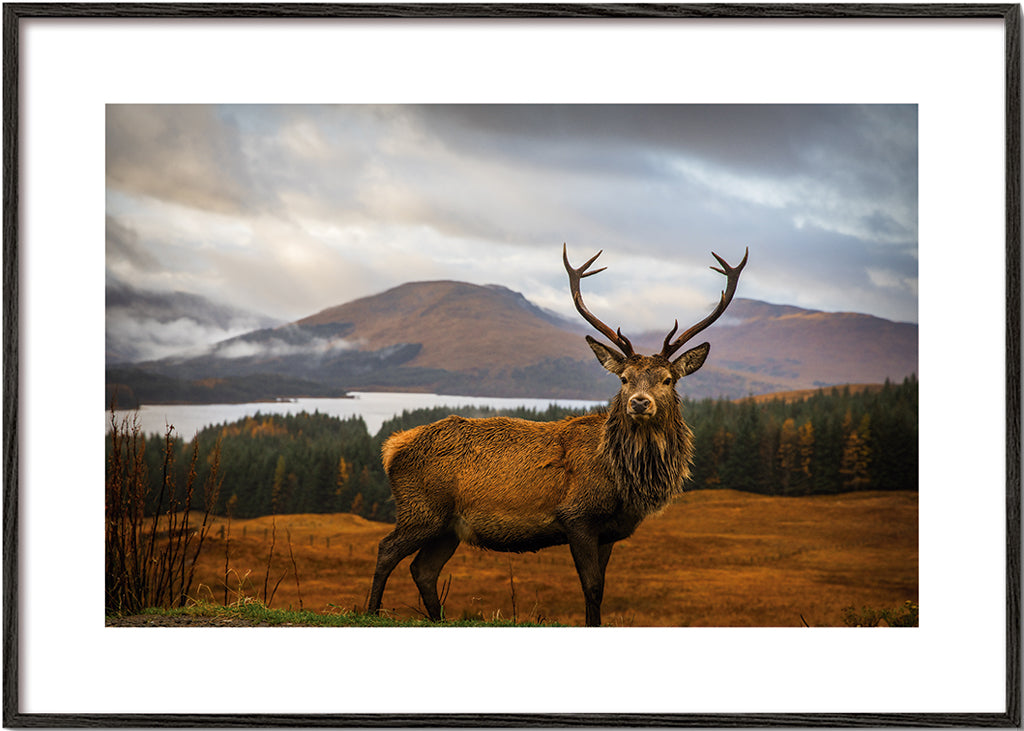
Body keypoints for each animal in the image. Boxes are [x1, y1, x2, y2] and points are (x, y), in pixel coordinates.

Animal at [366, 244, 747, 626]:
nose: (639, 402)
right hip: (421, 509)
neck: (625, 483)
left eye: (668, 380)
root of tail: (392, 447)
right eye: (624, 379)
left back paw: (437, 618)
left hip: (447, 527)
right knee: (386, 550)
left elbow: (601, 588)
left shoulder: (609, 532)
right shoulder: (576, 516)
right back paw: (371, 611)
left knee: (423, 570)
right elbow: (591, 587)